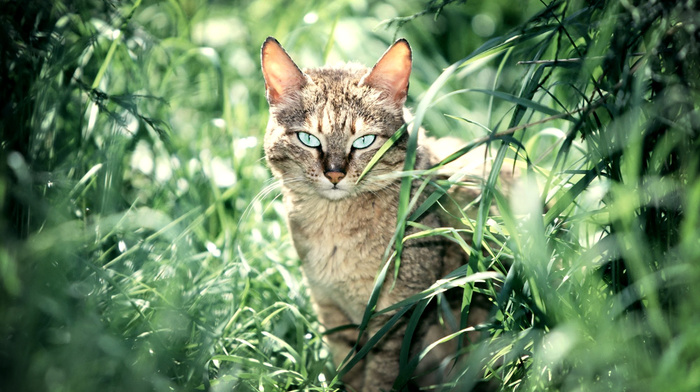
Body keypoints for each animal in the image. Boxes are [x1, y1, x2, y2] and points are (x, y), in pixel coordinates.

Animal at [260, 36, 490, 392]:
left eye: (364, 141)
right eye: (308, 139)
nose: (334, 173)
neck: (335, 230)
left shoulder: (399, 313)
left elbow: (381, 371)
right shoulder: (331, 309)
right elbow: (349, 366)